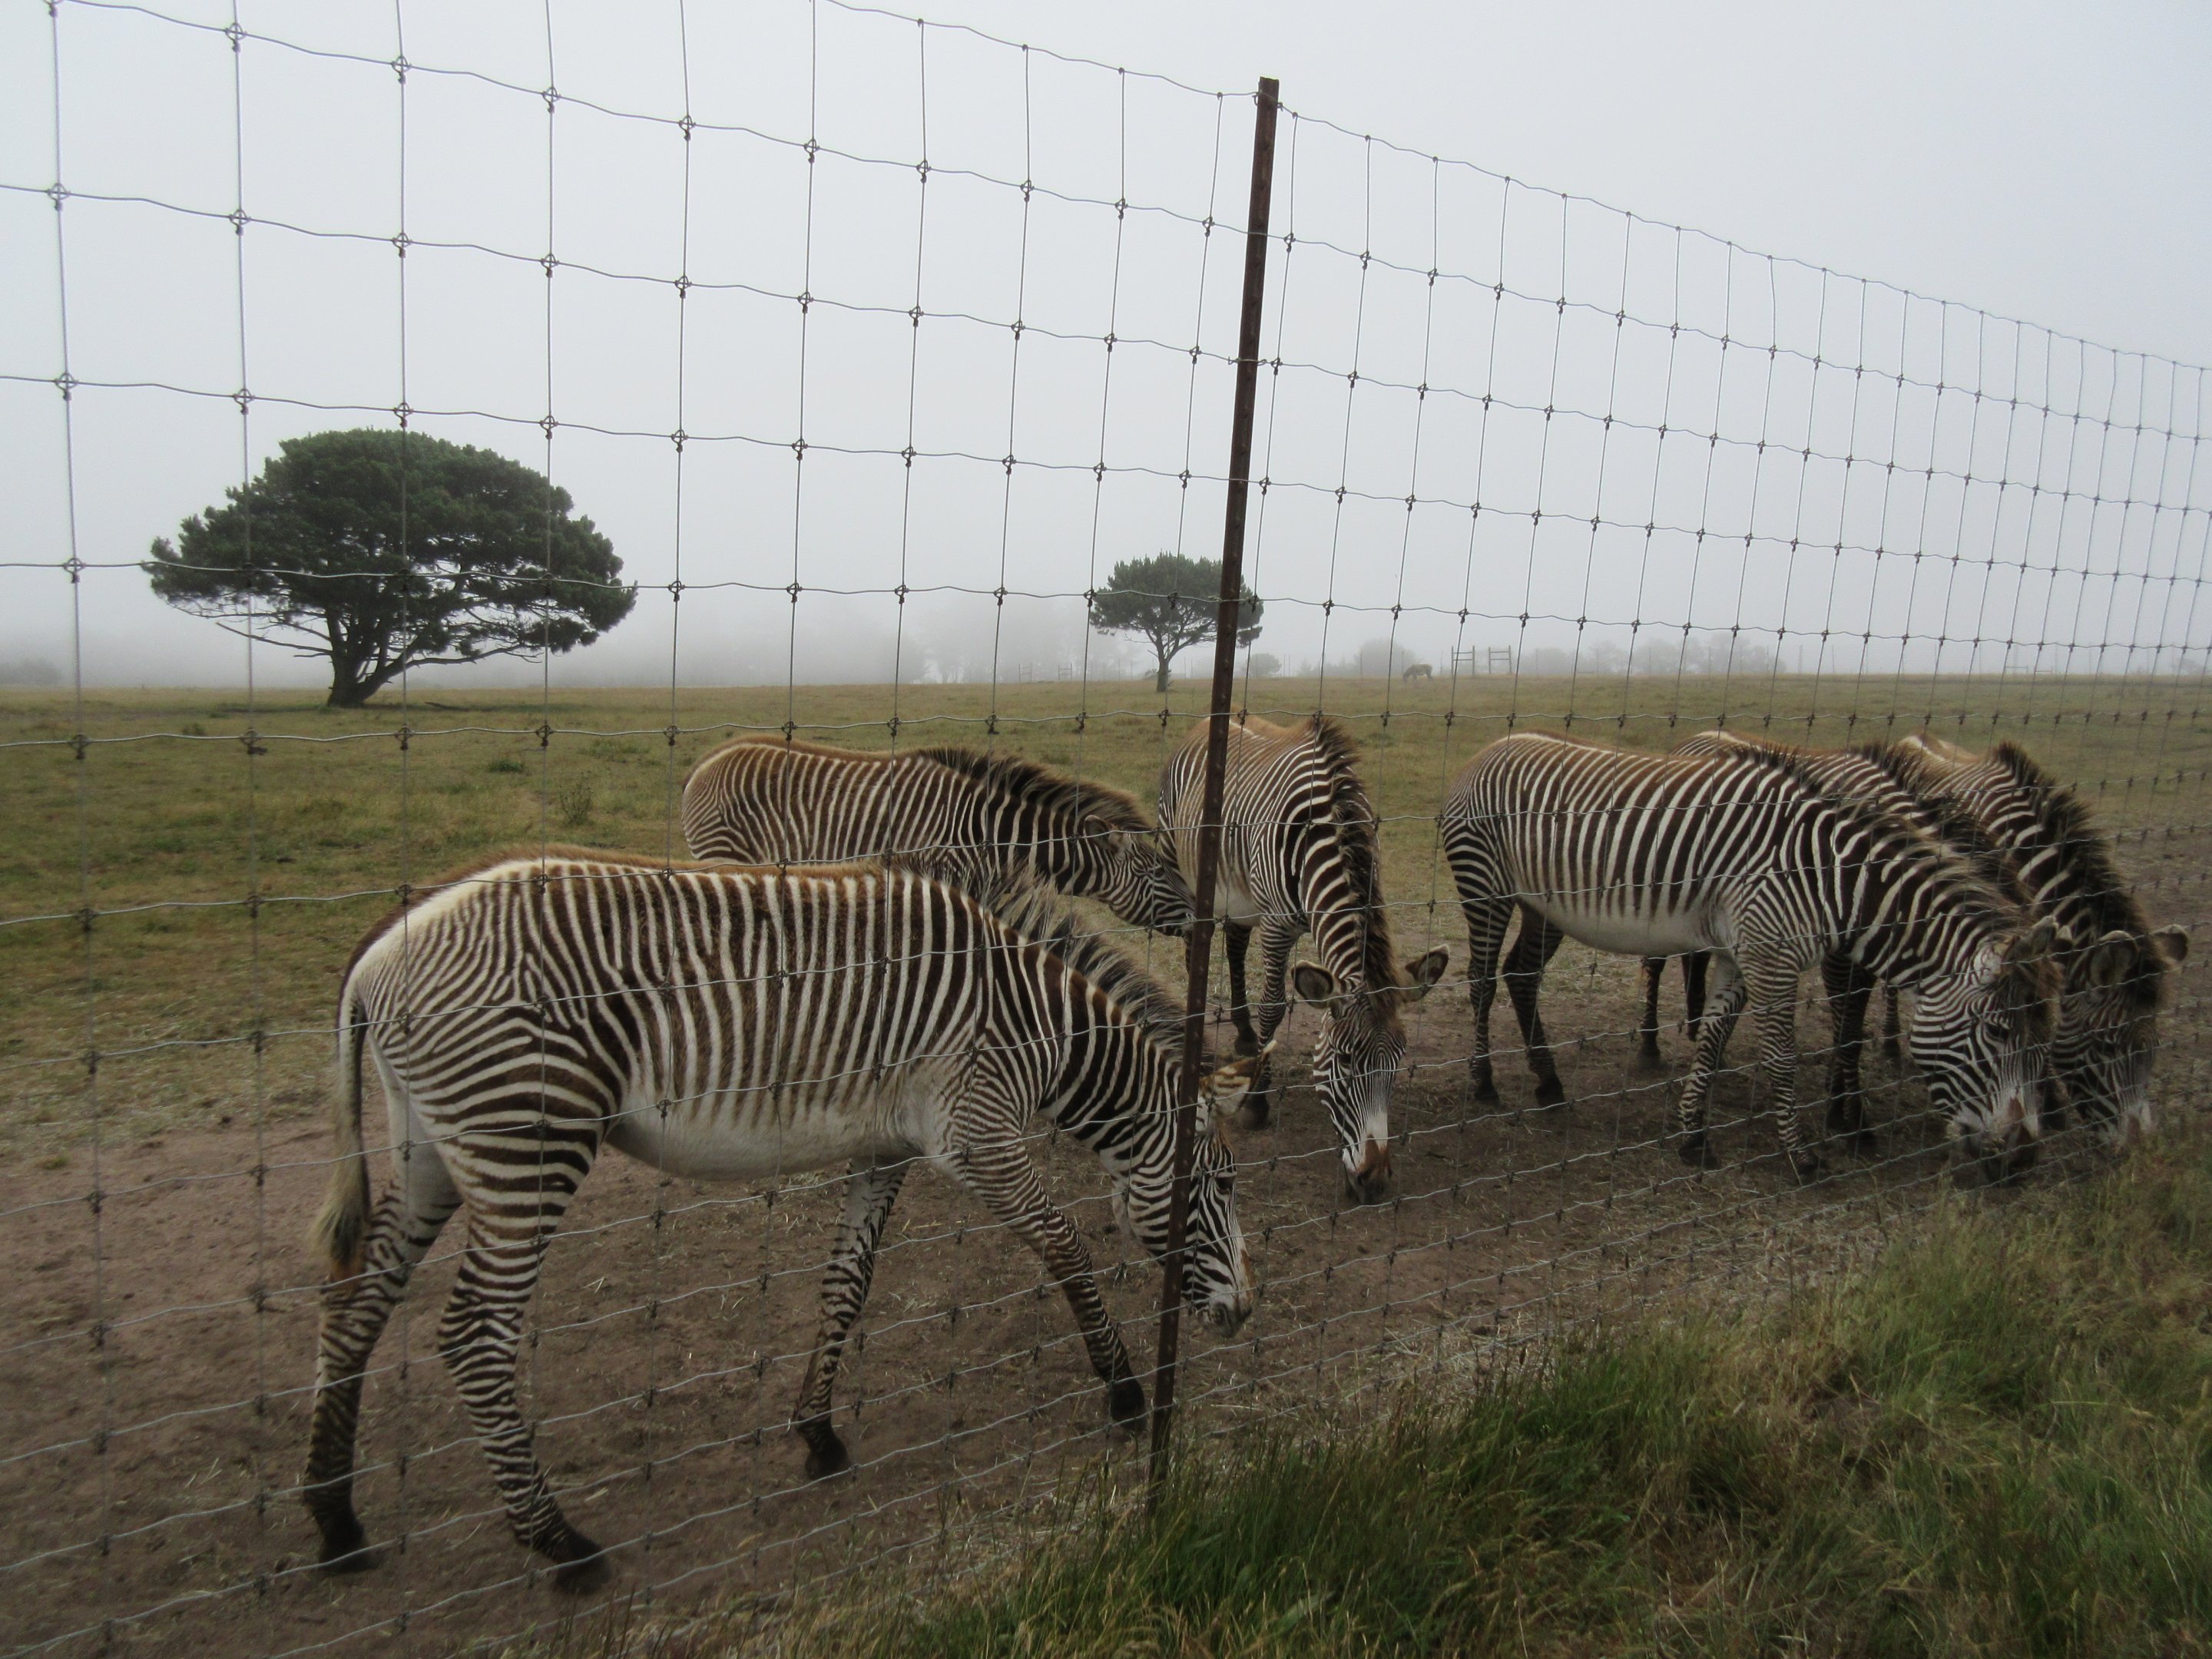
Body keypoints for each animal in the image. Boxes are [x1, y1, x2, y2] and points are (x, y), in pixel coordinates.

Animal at [302, 852, 1261, 1592]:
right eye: (1219, 1182)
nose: (1247, 1313)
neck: (1038, 1030)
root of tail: (381, 947)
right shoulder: (977, 1136)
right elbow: (1062, 1244)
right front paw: (1127, 1393)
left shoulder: (887, 1149)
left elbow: (848, 1281)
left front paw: (818, 1432)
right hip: (525, 1142)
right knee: (473, 1332)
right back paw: (557, 1542)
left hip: (431, 1150)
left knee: (357, 1302)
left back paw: (335, 1518)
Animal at [680, 736, 1194, 935]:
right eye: (1156, 873)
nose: (1199, 919)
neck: (991, 834)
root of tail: (708, 760)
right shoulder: (941, 877)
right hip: (724, 851)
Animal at [1158, 714, 1449, 1202]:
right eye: (1345, 1061)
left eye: (1398, 1061)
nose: (1374, 1180)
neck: (1326, 833)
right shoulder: (1277, 925)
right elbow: (1274, 1006)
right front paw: (1256, 1104)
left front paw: (1254, 1049)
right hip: (1182, 866)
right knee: (1192, 941)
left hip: (1240, 894)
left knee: (1235, 944)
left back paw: (1243, 1034)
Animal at [1442, 732, 2056, 1182]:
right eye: (2000, 1032)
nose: (2026, 1157)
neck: (1833, 881)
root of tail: (1490, 747)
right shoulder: (1772, 956)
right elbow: (1781, 1055)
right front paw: (1802, 1154)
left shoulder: (1743, 954)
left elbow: (1714, 1039)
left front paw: (1693, 1136)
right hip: (1487, 888)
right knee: (1481, 980)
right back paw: (1485, 1082)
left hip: (1541, 906)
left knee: (1521, 974)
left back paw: (1548, 1084)